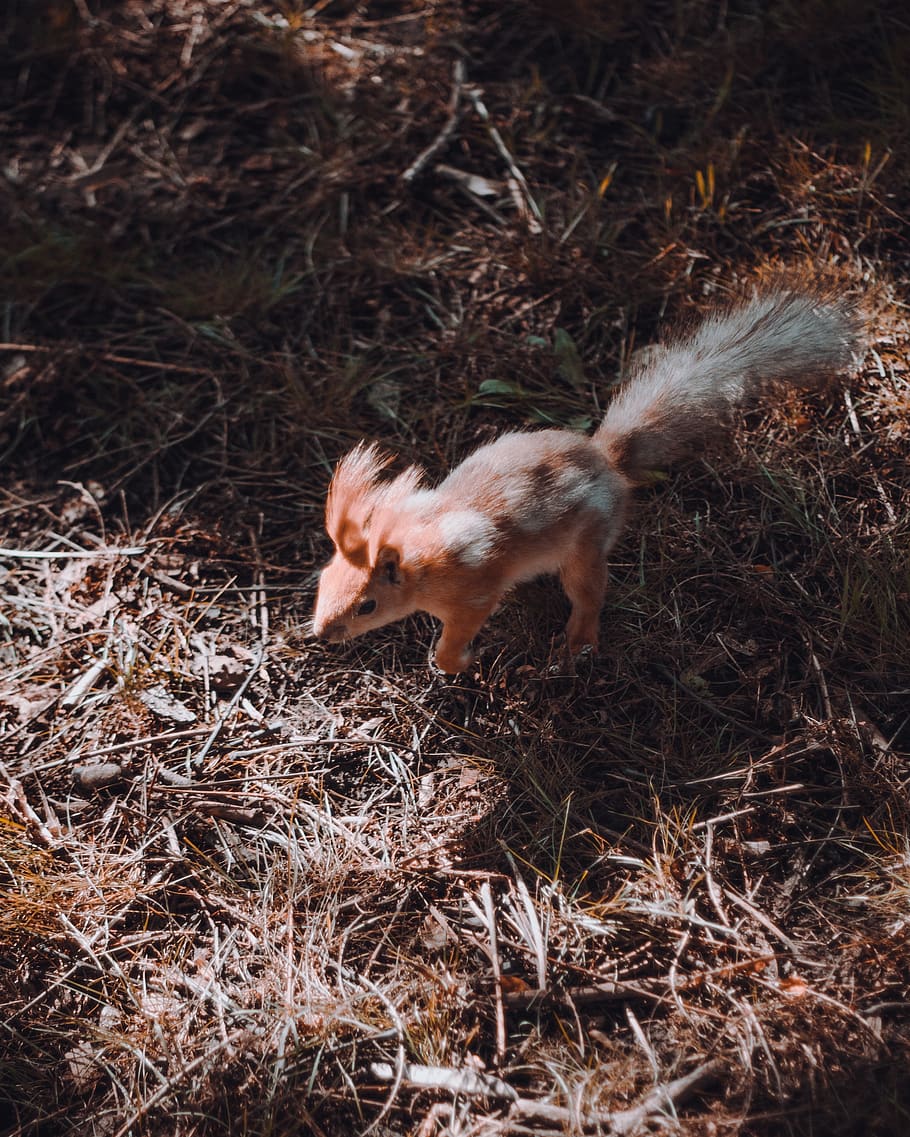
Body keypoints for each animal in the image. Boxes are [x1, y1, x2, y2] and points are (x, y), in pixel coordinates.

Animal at [312, 289, 860, 673]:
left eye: (367, 605)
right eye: (323, 579)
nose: (321, 634)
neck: (419, 552)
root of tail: (608, 460)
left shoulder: (471, 594)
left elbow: (456, 638)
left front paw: (458, 662)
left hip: (585, 547)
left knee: (589, 595)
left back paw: (578, 643)